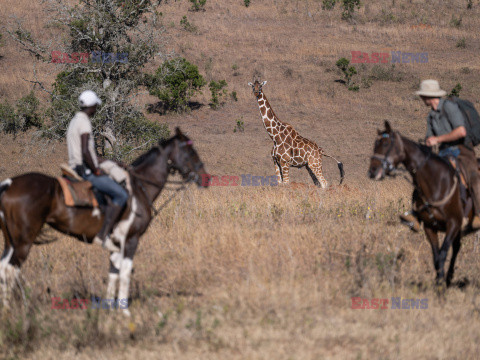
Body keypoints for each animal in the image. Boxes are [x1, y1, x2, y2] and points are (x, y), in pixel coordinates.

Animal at [0, 128, 207, 314]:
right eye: (191, 152)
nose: (206, 178)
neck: (139, 188)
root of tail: (9, 184)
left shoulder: (115, 244)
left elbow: (113, 273)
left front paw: (110, 308)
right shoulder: (131, 240)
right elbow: (124, 273)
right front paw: (124, 312)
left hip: (11, 241)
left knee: (3, 267)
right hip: (24, 241)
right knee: (11, 269)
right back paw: (11, 311)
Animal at [370, 122, 474, 288]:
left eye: (385, 144)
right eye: (375, 145)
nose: (372, 171)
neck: (435, 183)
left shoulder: (453, 224)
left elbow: (443, 253)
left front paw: (440, 286)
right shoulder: (429, 227)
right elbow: (436, 256)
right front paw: (439, 281)